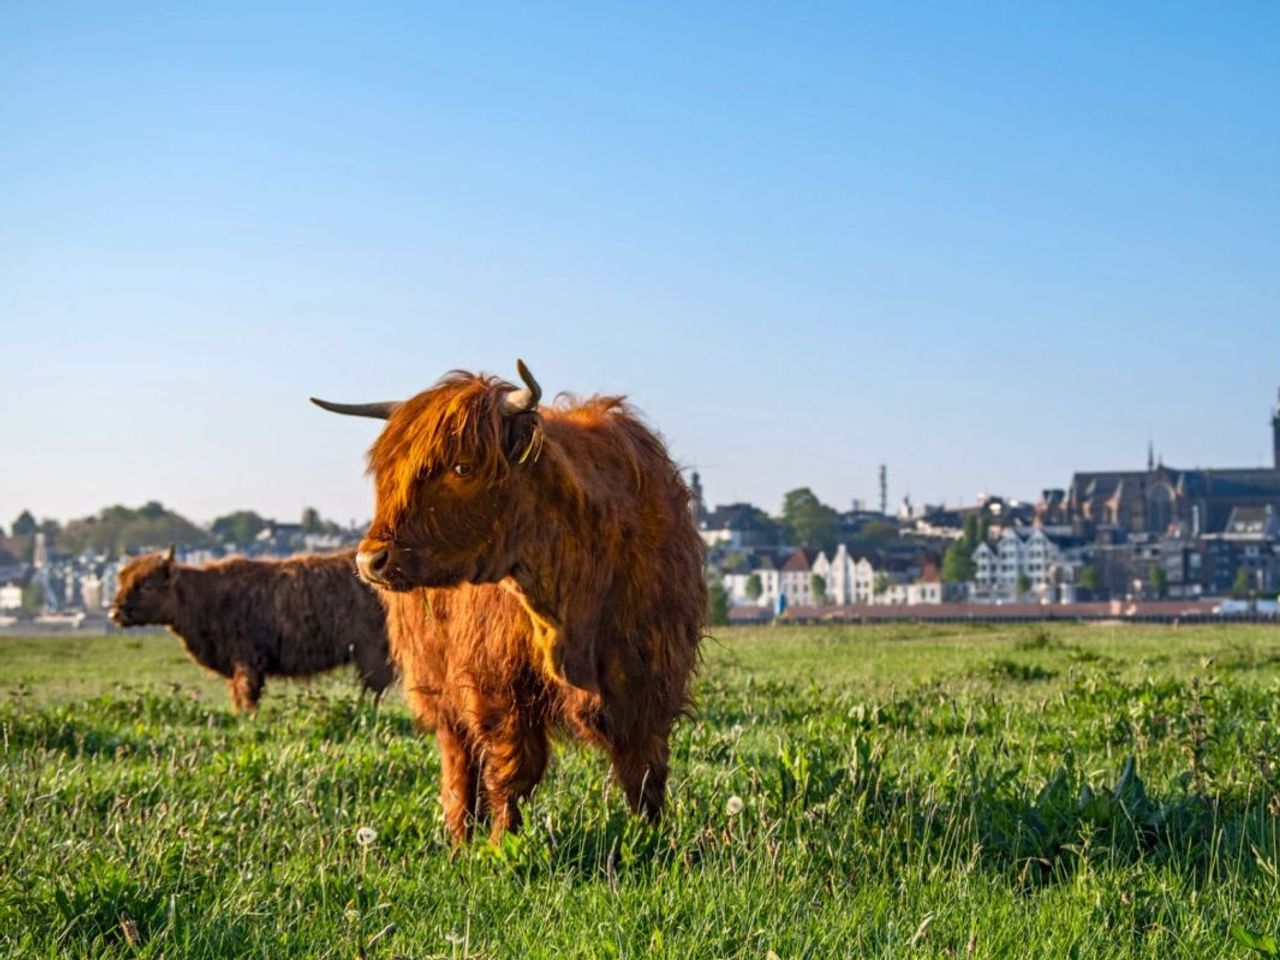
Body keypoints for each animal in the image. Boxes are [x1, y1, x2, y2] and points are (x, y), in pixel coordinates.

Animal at [110, 547, 394, 716]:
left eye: (146, 586)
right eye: (121, 580)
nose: (115, 613)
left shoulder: (247, 661)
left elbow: (247, 694)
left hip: (372, 651)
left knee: (374, 688)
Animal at [313, 358, 706, 839]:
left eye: (463, 468)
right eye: (389, 475)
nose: (370, 559)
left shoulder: (649, 675)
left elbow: (643, 769)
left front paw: (651, 835)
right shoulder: (497, 683)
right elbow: (514, 769)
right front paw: (504, 841)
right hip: (439, 682)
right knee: (459, 758)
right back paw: (460, 835)